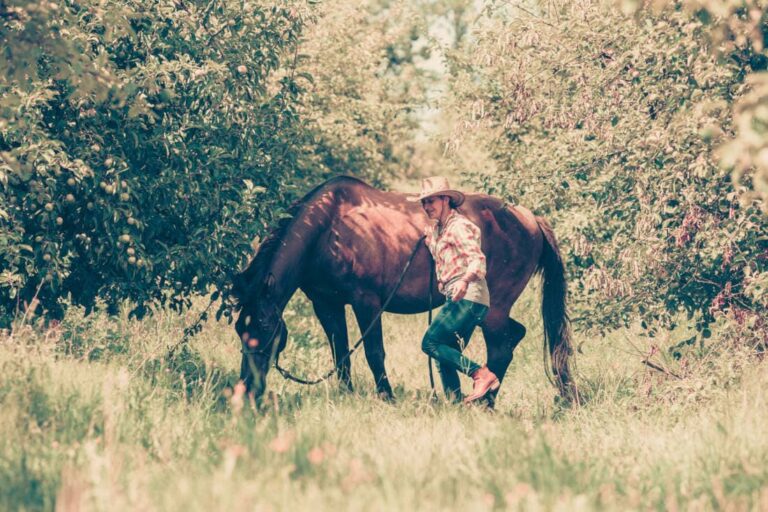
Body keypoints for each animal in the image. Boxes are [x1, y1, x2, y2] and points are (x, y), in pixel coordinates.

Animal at [231, 176, 576, 405]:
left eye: (267, 328)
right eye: (239, 329)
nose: (245, 392)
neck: (330, 228)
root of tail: (529, 218)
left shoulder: (367, 303)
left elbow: (374, 352)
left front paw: (386, 397)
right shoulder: (326, 304)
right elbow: (340, 352)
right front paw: (346, 395)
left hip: (494, 310)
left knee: (503, 344)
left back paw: (484, 401)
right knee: (507, 339)